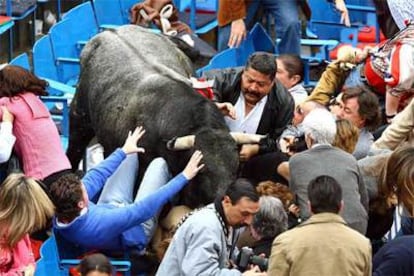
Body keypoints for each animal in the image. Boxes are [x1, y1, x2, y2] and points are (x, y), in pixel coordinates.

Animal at [67, 25, 239, 208]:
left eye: (236, 169)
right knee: (74, 149)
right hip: (79, 116)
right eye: (202, 170)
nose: (223, 201)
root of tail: (110, 32)